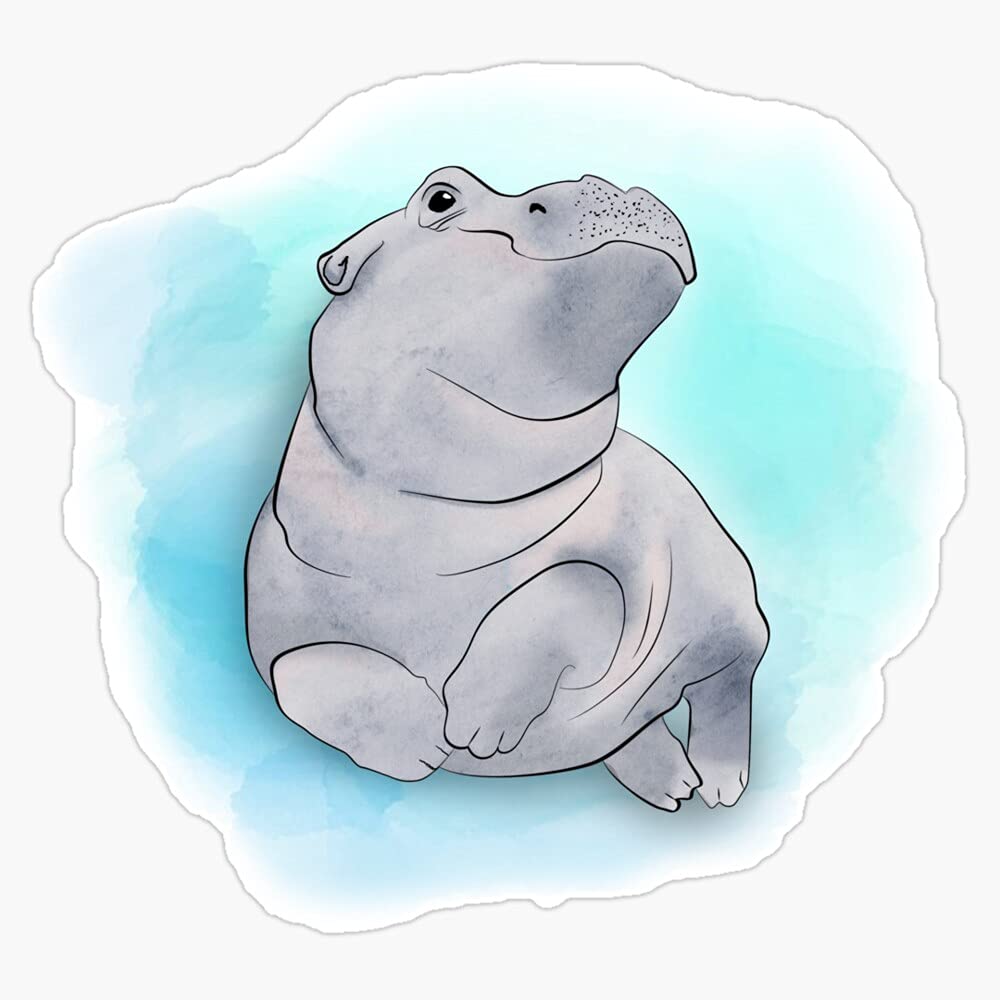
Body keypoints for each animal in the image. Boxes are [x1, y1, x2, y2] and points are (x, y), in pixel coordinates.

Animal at [244, 167, 768, 811]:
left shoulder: (625, 568)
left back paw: (719, 787)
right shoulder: (273, 616)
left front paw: (473, 726)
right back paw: (670, 784)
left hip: (730, 616)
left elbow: (575, 583)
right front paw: (426, 742)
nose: (614, 184)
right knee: (635, 725)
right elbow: (300, 671)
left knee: (727, 690)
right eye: (442, 197)